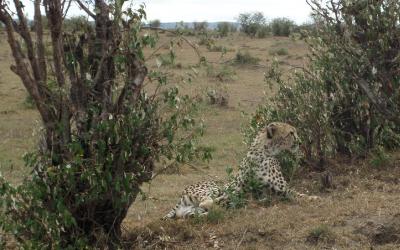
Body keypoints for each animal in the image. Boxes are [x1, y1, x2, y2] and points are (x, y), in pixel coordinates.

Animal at [162, 122, 316, 219]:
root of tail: (182, 195)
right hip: (215, 188)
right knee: (209, 200)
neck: (264, 149)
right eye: (291, 133)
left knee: (200, 213)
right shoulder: (282, 189)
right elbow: (299, 194)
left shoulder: (278, 189)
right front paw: (314, 198)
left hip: (190, 211)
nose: (300, 142)